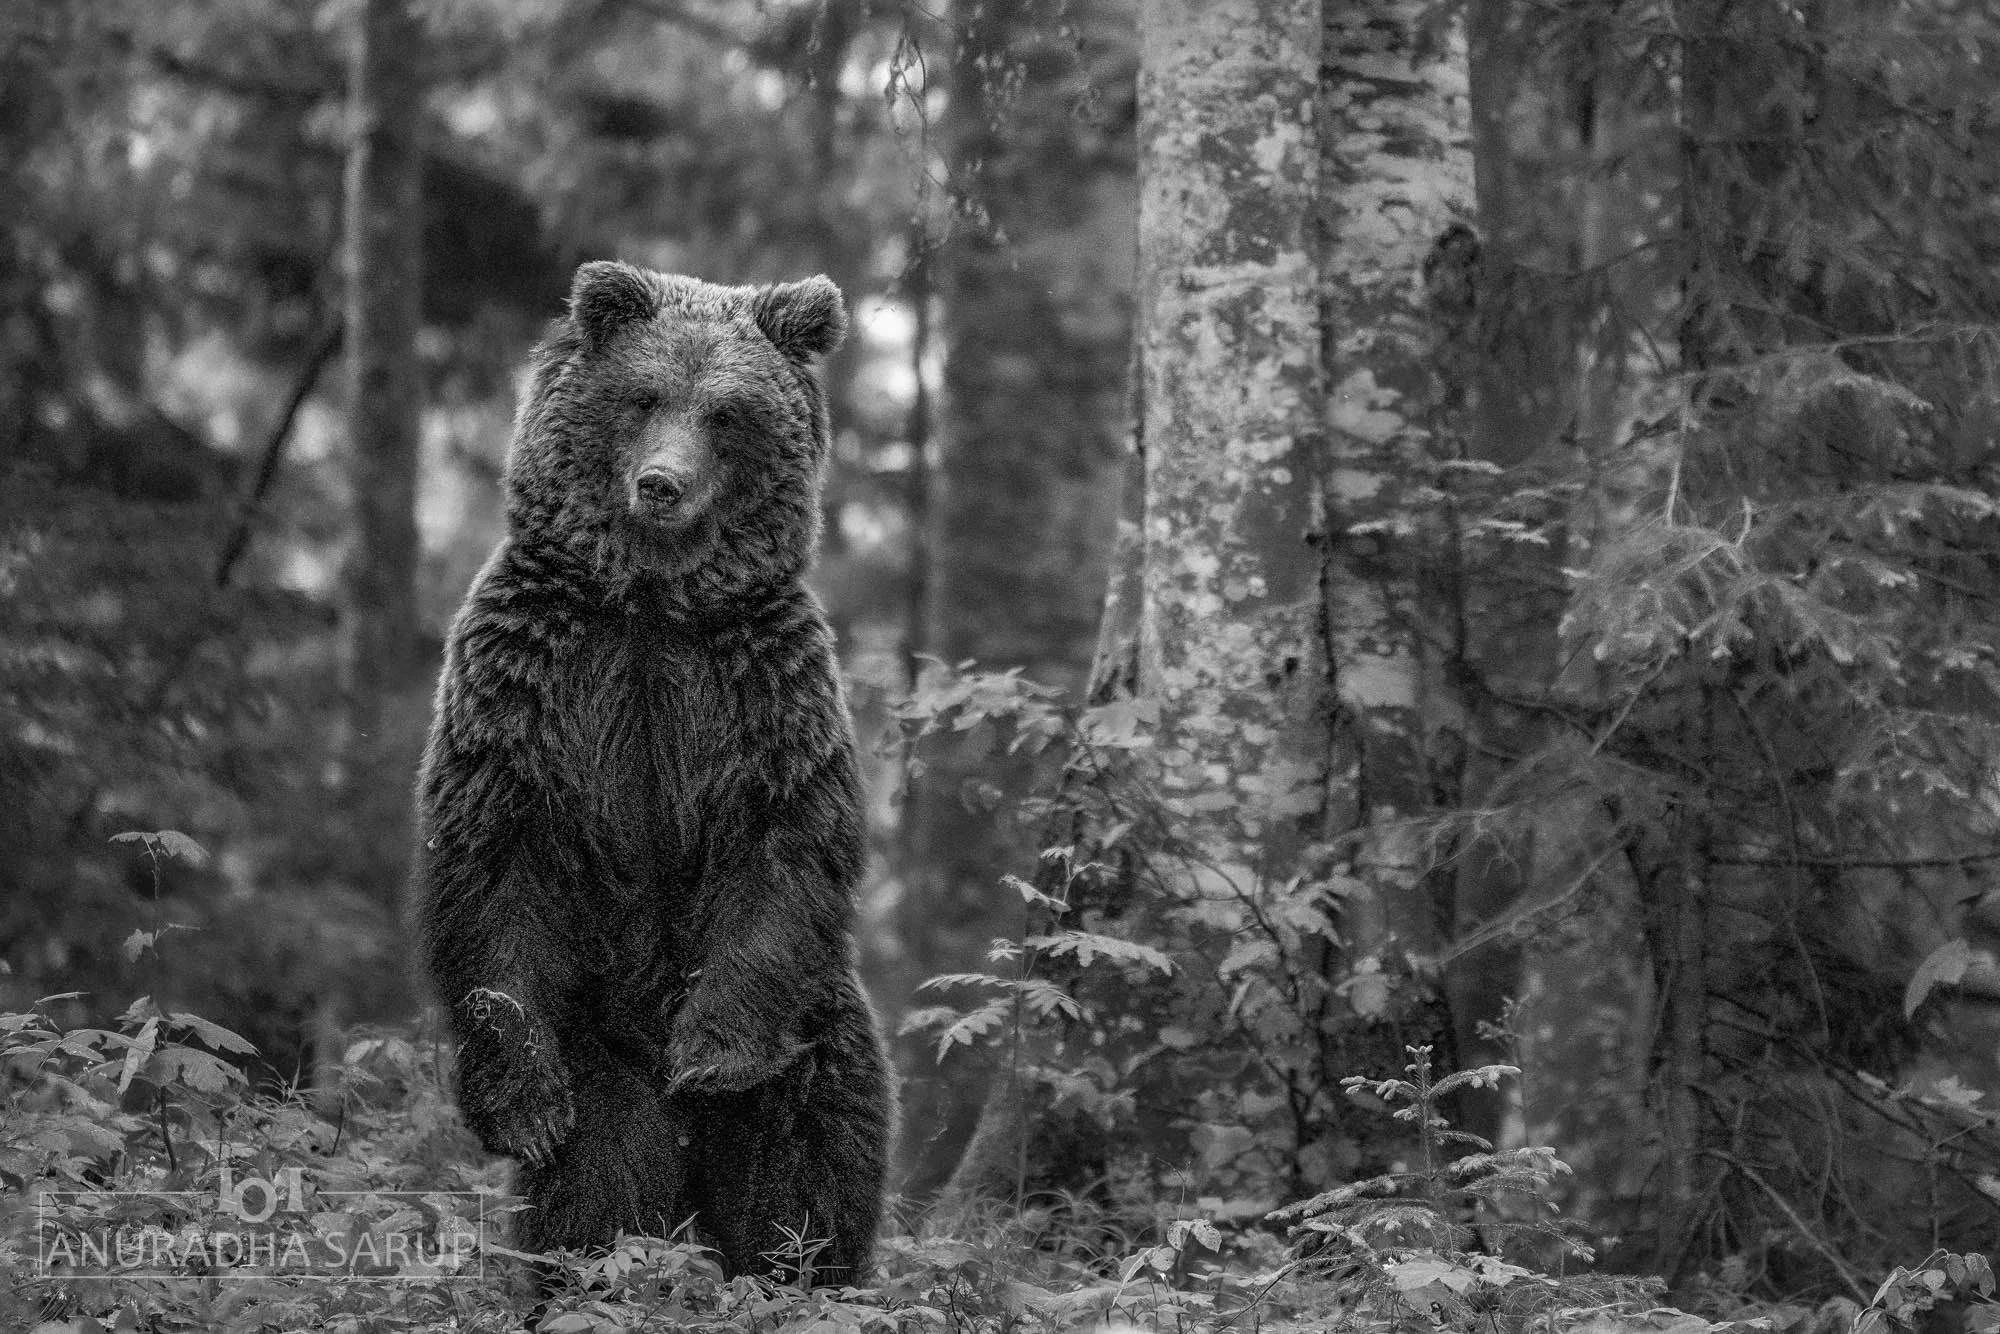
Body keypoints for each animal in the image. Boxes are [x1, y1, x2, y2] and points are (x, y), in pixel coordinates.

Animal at [413, 260, 892, 1283]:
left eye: (727, 412)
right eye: (643, 396)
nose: (662, 483)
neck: (650, 599)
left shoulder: (760, 689)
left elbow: (786, 844)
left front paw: (711, 1054)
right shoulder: (532, 677)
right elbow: (492, 858)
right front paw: (523, 1107)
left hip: (820, 1016)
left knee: (809, 1159)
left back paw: (799, 1268)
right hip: (594, 1031)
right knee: (604, 1178)